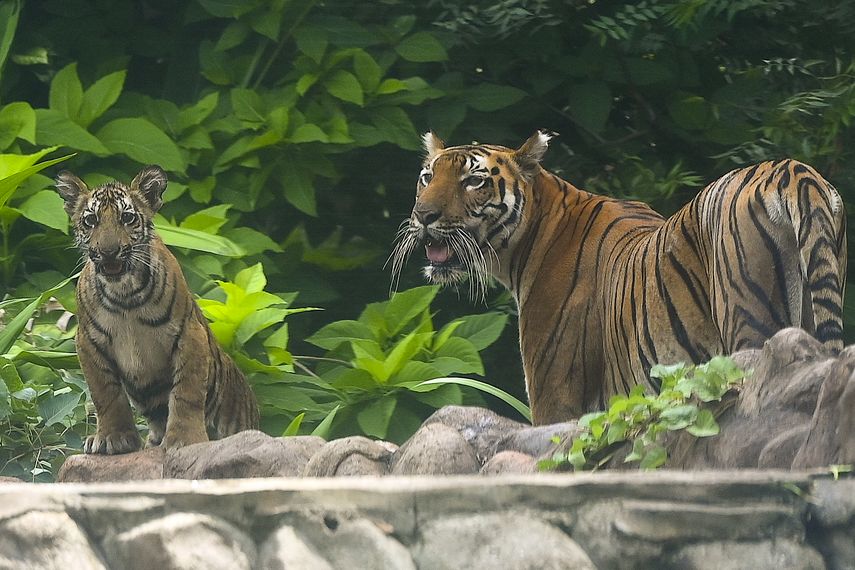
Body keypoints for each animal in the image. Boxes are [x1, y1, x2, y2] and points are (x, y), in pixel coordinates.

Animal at [54, 166, 259, 454]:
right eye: (91, 220)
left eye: (127, 217)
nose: (108, 252)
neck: (124, 294)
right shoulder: (88, 342)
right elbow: (106, 393)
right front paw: (112, 438)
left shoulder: (190, 335)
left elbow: (186, 392)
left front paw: (185, 440)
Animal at [390, 131, 847, 425]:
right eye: (428, 177)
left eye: (474, 180)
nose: (423, 216)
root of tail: (792, 169)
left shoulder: (555, 398)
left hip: (748, 321)